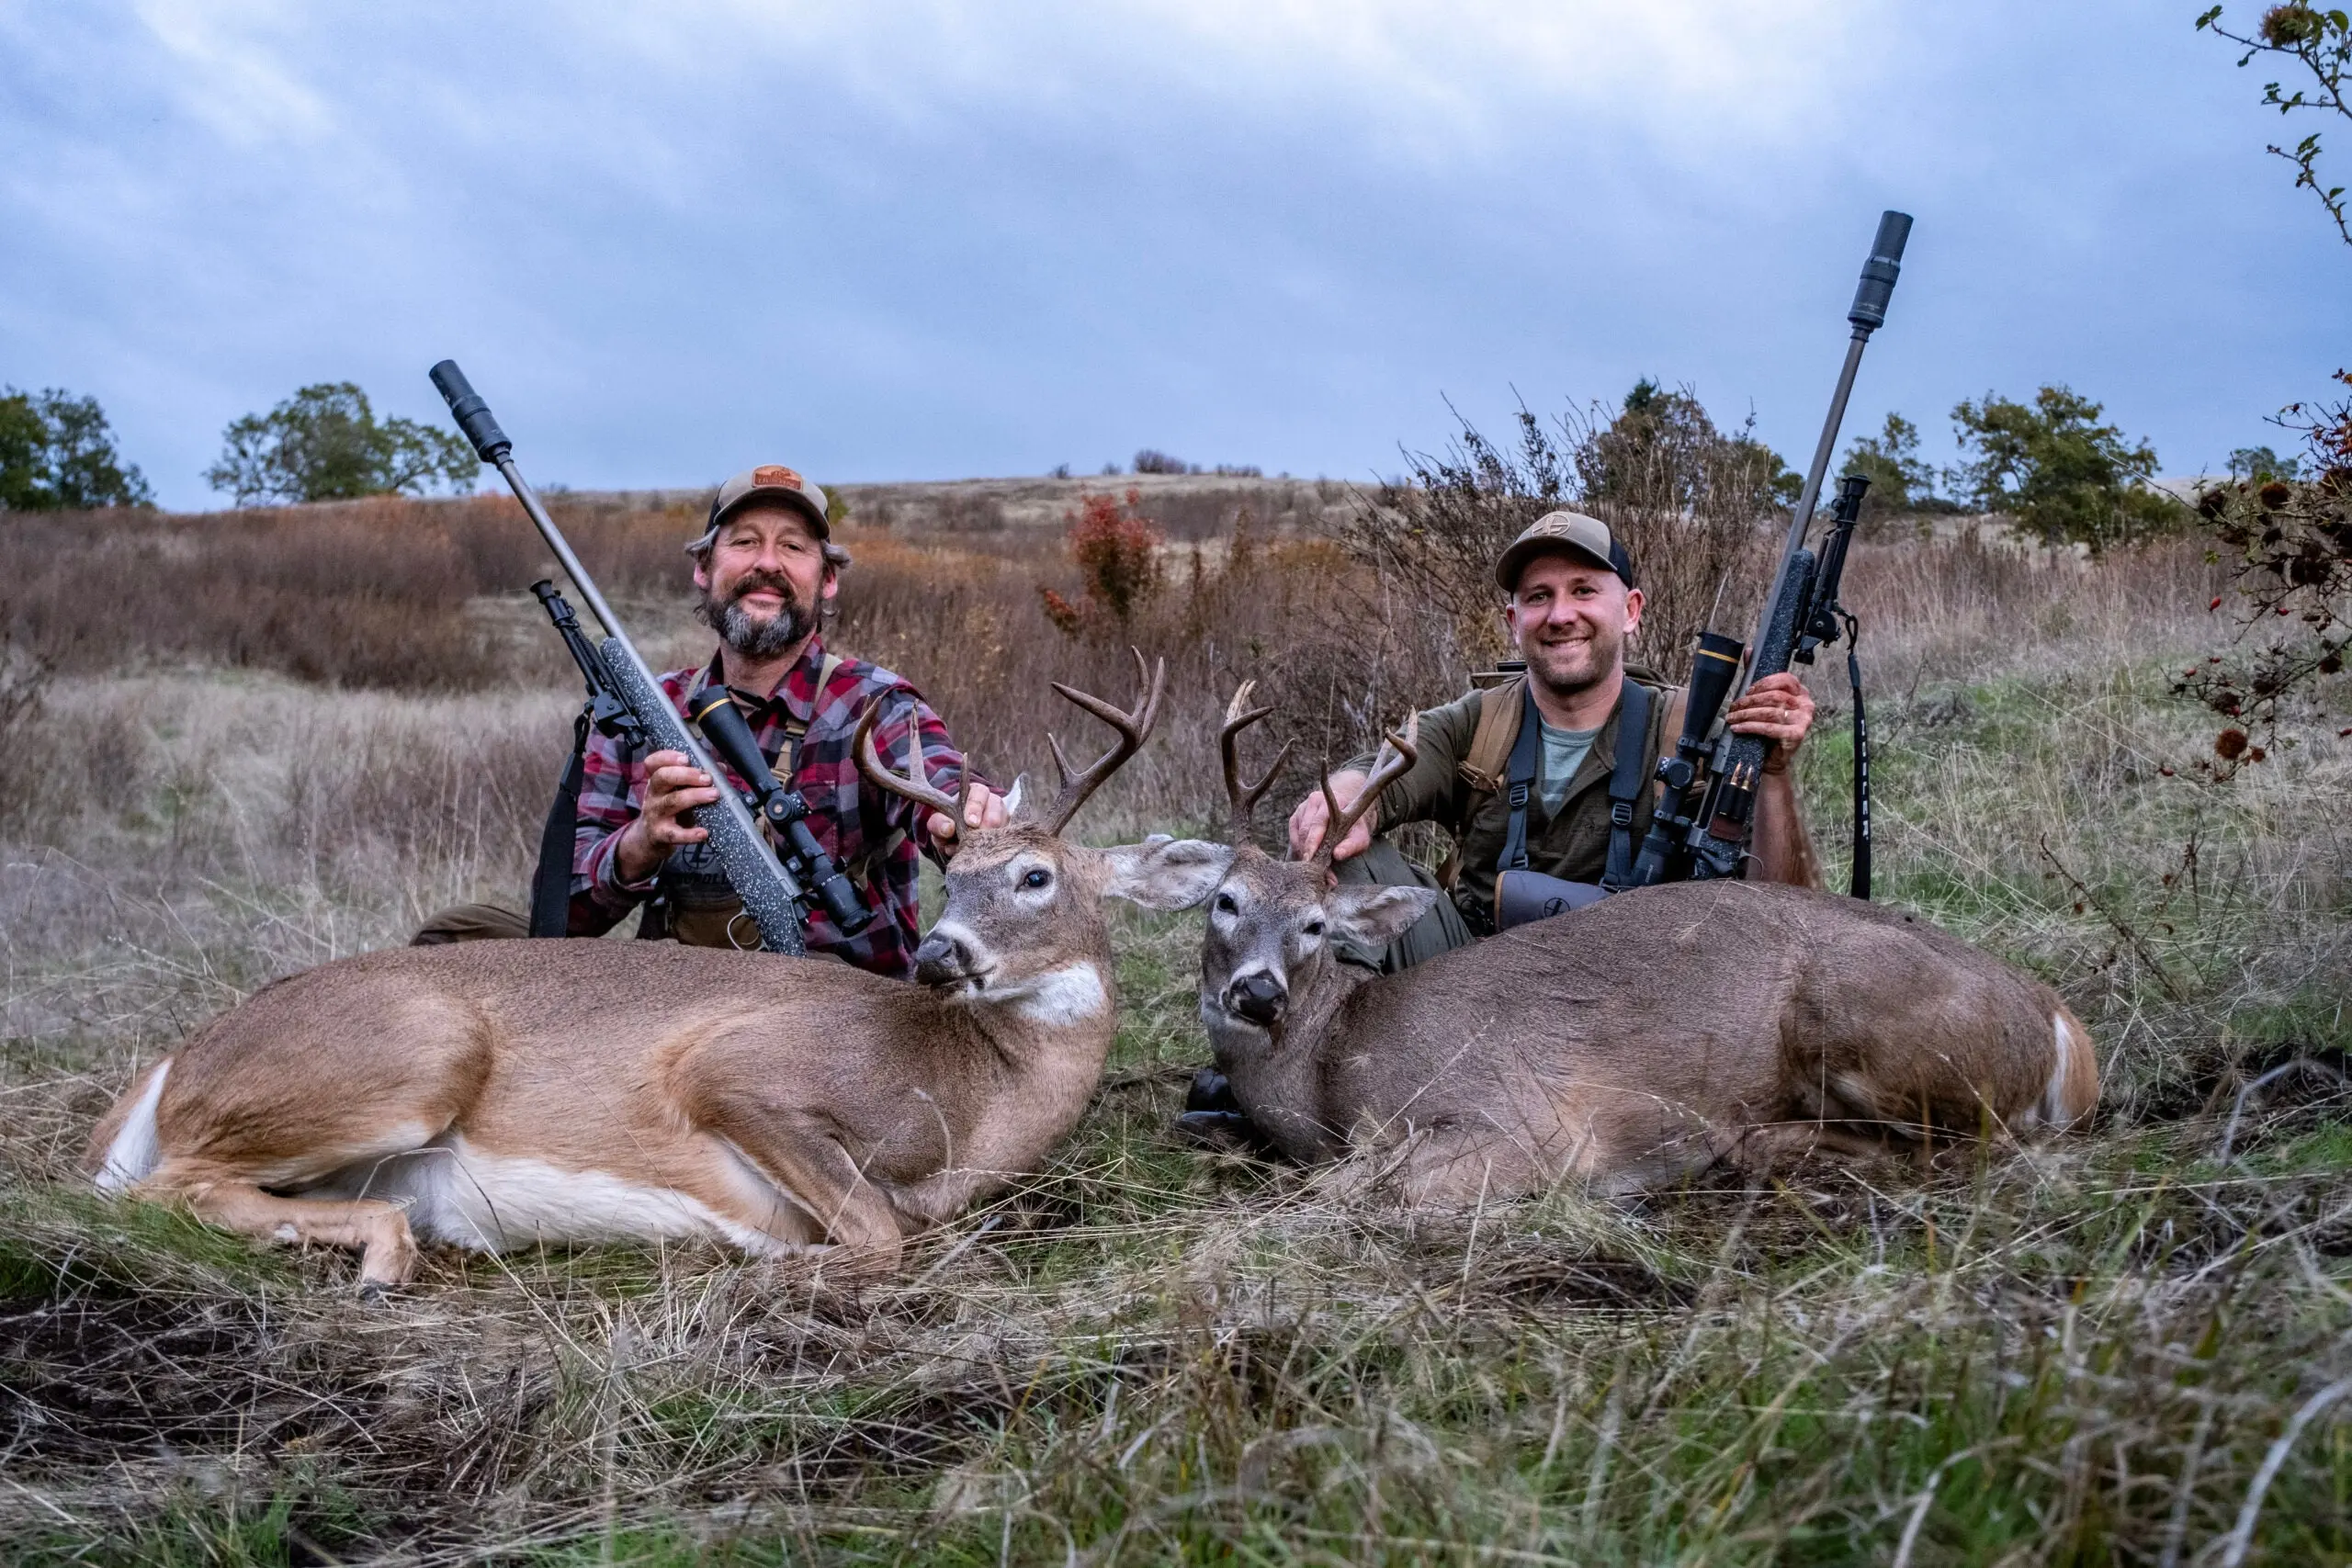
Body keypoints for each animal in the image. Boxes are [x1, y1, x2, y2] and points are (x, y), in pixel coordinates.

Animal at [80, 658, 1232, 1279]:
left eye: (1035, 876)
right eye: (956, 876)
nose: (942, 952)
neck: (970, 1098)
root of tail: (180, 1061)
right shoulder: (738, 1070)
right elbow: (873, 1237)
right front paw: (779, 1255)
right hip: (416, 1053)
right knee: (158, 1191)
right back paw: (384, 1260)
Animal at [1194, 686, 2098, 1203]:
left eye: (1316, 925)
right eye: (1224, 901)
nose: (1258, 993)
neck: (1331, 1063)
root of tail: (2060, 1020)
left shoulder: (1525, 1123)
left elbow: (1355, 1191)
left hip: (1865, 1019)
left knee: (1984, 1148)